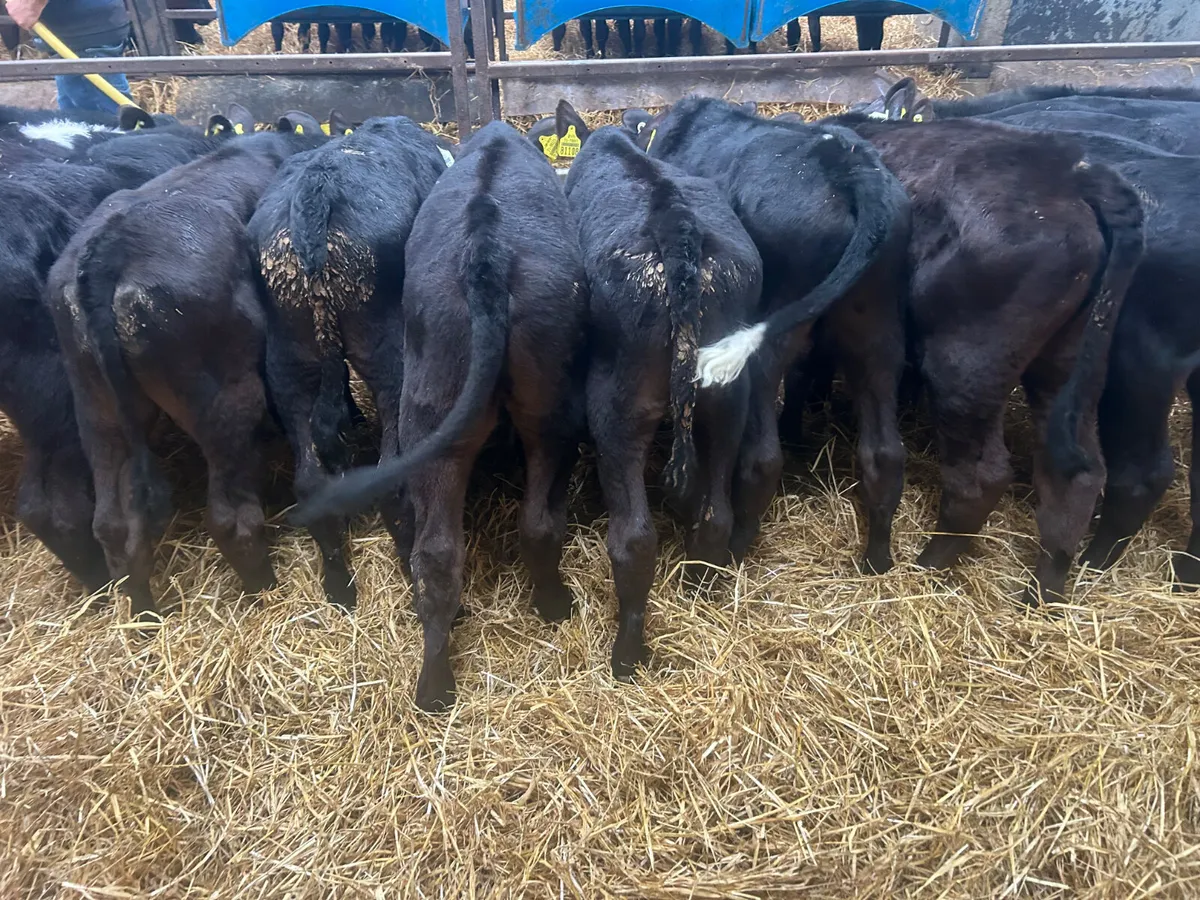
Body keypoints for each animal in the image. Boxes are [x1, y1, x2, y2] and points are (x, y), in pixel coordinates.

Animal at [45, 122, 326, 622]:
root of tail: (109, 252)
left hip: (96, 408)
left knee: (114, 523)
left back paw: (142, 619)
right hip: (226, 398)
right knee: (230, 519)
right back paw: (263, 593)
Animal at [247, 115, 453, 611]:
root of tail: (315, 192)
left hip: (289, 359)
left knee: (310, 480)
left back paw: (338, 585)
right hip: (389, 356)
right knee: (392, 480)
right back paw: (409, 578)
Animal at [296, 121, 588, 711]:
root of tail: (486, 249)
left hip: (438, 411)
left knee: (438, 553)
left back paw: (434, 684)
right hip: (549, 409)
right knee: (537, 521)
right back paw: (551, 607)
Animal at [619, 96, 911, 577]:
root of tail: (851, 168)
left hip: (769, 340)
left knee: (763, 459)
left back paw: (735, 549)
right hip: (877, 329)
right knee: (884, 454)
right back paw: (877, 559)